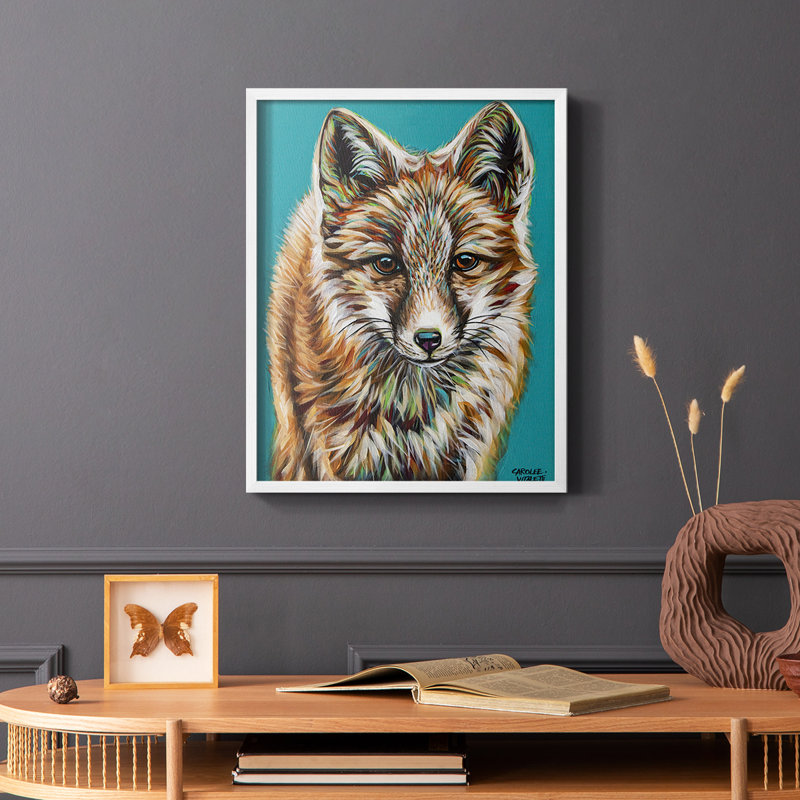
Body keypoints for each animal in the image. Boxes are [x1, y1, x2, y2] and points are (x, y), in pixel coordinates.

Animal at [267, 102, 537, 481]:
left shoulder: (468, 456)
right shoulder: (336, 455)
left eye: (465, 261)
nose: (428, 340)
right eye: (386, 264)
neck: (413, 414)